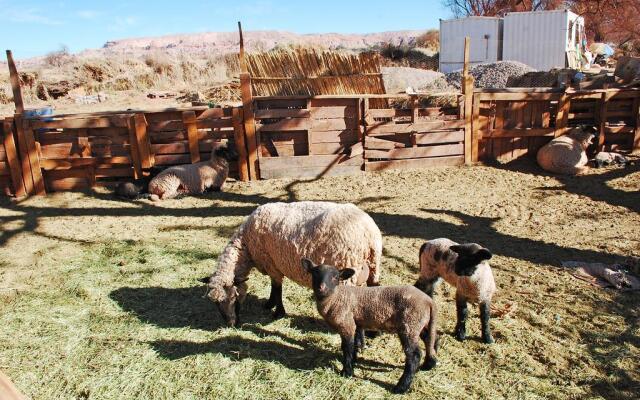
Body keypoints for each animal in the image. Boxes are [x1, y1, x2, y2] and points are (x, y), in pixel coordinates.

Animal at [200, 202, 382, 326]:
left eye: (234, 297)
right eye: (215, 303)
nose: (231, 324)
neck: (246, 246)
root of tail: (369, 234)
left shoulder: (271, 263)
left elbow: (277, 288)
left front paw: (277, 311)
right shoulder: (273, 264)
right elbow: (274, 287)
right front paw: (270, 304)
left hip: (347, 271)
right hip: (373, 266)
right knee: (375, 288)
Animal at [302, 260, 438, 394]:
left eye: (335, 277)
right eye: (314, 273)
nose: (321, 288)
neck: (336, 297)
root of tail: (429, 301)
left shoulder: (346, 324)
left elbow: (347, 347)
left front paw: (347, 371)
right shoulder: (355, 322)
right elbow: (355, 344)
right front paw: (354, 360)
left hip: (409, 325)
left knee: (414, 355)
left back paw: (401, 387)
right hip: (420, 324)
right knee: (429, 339)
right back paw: (428, 365)